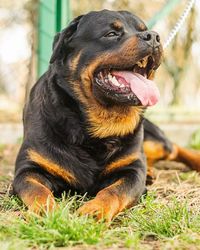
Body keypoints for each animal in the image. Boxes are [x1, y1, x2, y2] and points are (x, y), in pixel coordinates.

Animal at [12, 9, 200, 221]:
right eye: (111, 34)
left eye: (144, 29)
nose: (153, 36)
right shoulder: (28, 169)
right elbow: (36, 190)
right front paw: (47, 211)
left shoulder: (132, 171)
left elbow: (114, 191)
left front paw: (95, 209)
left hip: (152, 142)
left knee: (173, 148)